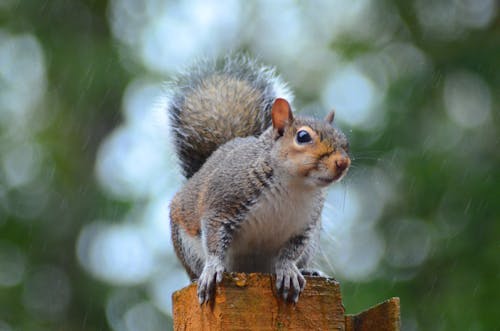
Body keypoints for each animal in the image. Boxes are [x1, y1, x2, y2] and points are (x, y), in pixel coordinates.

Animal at [168, 55, 352, 304]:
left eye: (345, 142)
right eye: (303, 136)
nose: (343, 163)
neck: (293, 184)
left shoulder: (305, 227)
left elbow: (291, 253)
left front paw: (288, 270)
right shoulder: (223, 202)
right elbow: (215, 237)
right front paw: (213, 268)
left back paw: (308, 270)